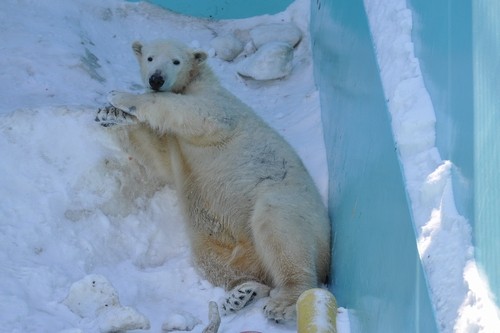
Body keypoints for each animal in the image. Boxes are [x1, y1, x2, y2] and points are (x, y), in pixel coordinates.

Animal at [96, 39, 332, 322]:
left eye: (176, 61)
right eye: (150, 58)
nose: (156, 79)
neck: (196, 79)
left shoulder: (218, 104)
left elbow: (198, 114)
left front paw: (119, 97)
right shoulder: (176, 149)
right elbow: (159, 158)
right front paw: (108, 114)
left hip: (289, 200)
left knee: (279, 229)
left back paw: (282, 302)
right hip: (221, 239)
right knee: (212, 258)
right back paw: (243, 293)